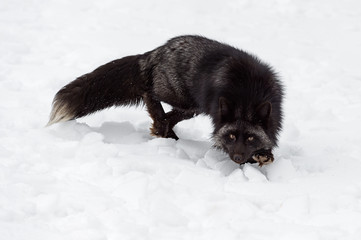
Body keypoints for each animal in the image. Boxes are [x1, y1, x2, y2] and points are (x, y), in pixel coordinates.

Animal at [48, 35, 284, 166]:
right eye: (232, 136)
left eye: (251, 138)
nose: (237, 158)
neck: (248, 95)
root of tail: (155, 52)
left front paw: (264, 155)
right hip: (181, 99)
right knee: (149, 93)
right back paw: (162, 127)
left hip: (191, 108)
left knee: (168, 117)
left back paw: (165, 133)